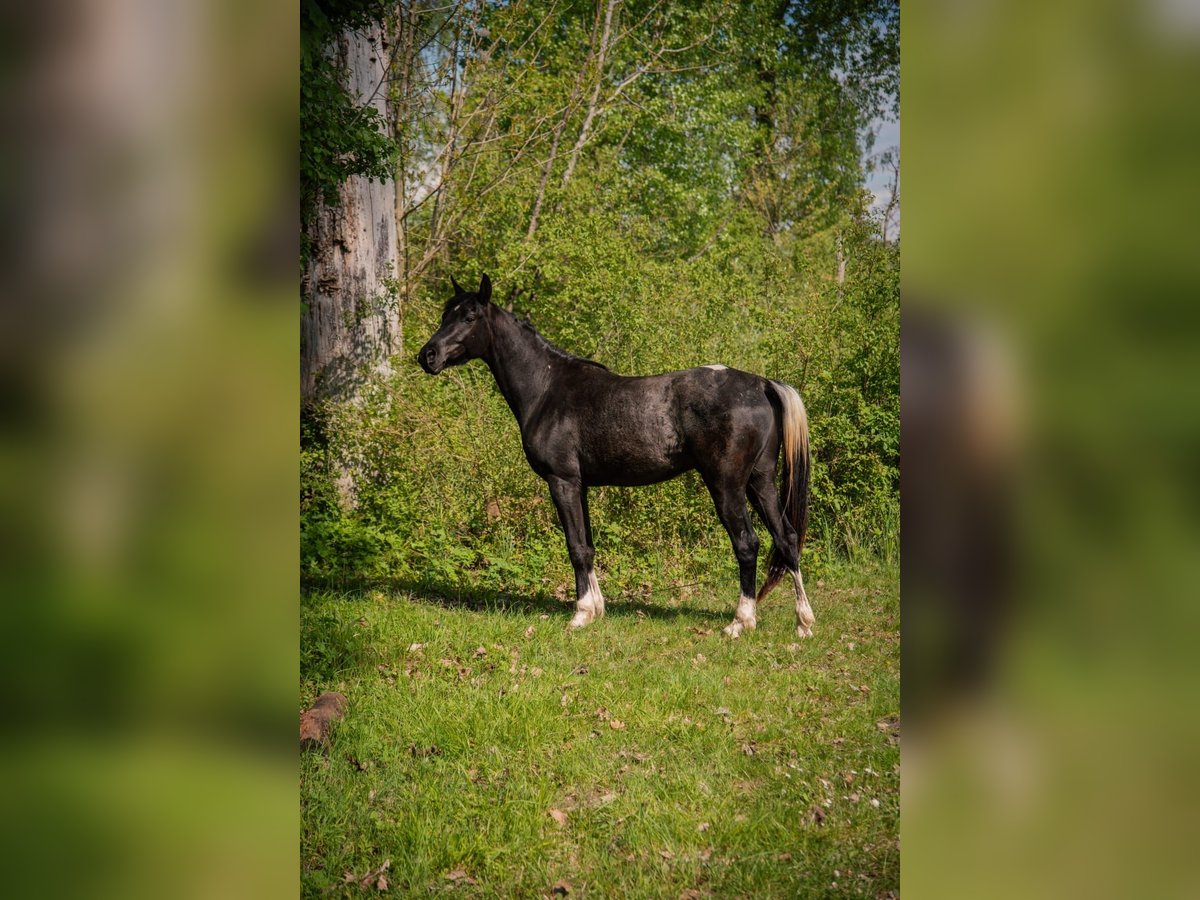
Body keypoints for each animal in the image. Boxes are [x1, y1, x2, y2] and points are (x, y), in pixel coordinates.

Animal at [415, 271, 816, 638]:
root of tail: (761, 384)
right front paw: (595, 609)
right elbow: (588, 546)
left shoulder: (562, 481)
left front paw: (580, 615)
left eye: (469, 317)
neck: (547, 388)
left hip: (727, 486)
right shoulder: (580, 485)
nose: (427, 355)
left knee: (747, 544)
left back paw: (740, 622)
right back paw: (803, 622)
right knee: (787, 538)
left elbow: (576, 546)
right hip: (760, 482)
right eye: (445, 314)